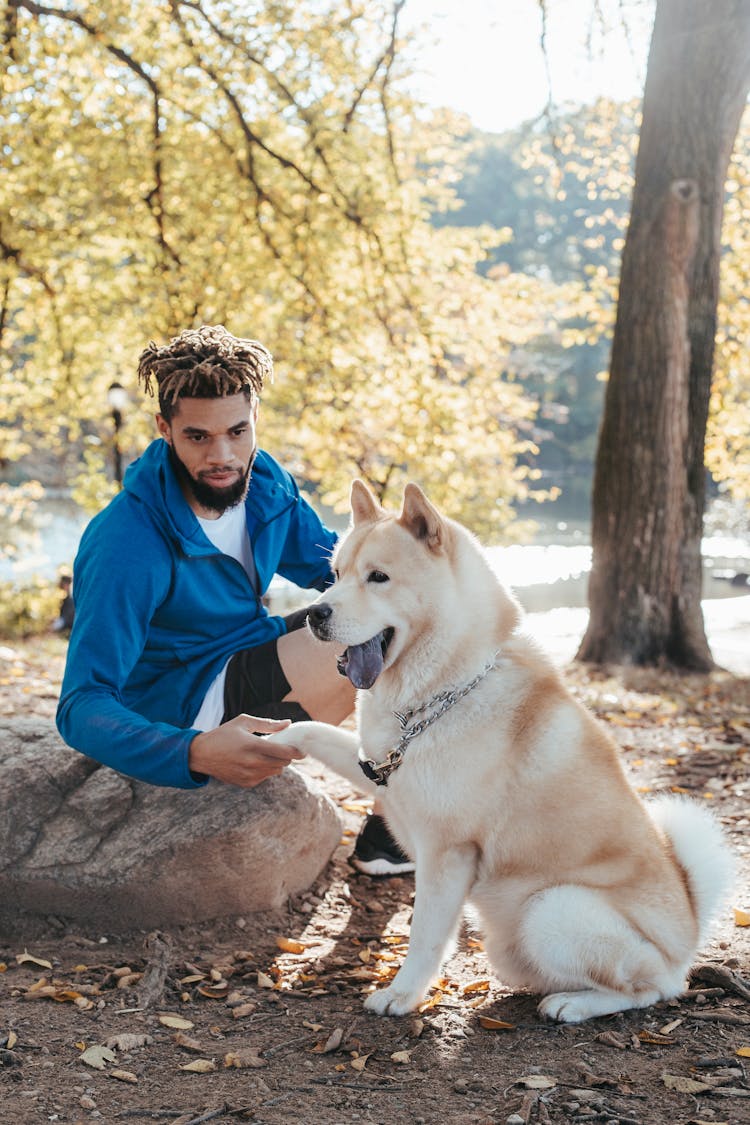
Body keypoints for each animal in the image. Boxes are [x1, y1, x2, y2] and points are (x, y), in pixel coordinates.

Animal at [269, 479, 733, 1026]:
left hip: (553, 910)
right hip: (516, 945)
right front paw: (263, 741)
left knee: (653, 989)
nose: (314, 614)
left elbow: (424, 935)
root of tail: (689, 930)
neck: (444, 689)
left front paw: (403, 995)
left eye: (378, 577)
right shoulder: (380, 766)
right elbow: (313, 731)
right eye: (336, 576)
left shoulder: (447, 852)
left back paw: (574, 1004)